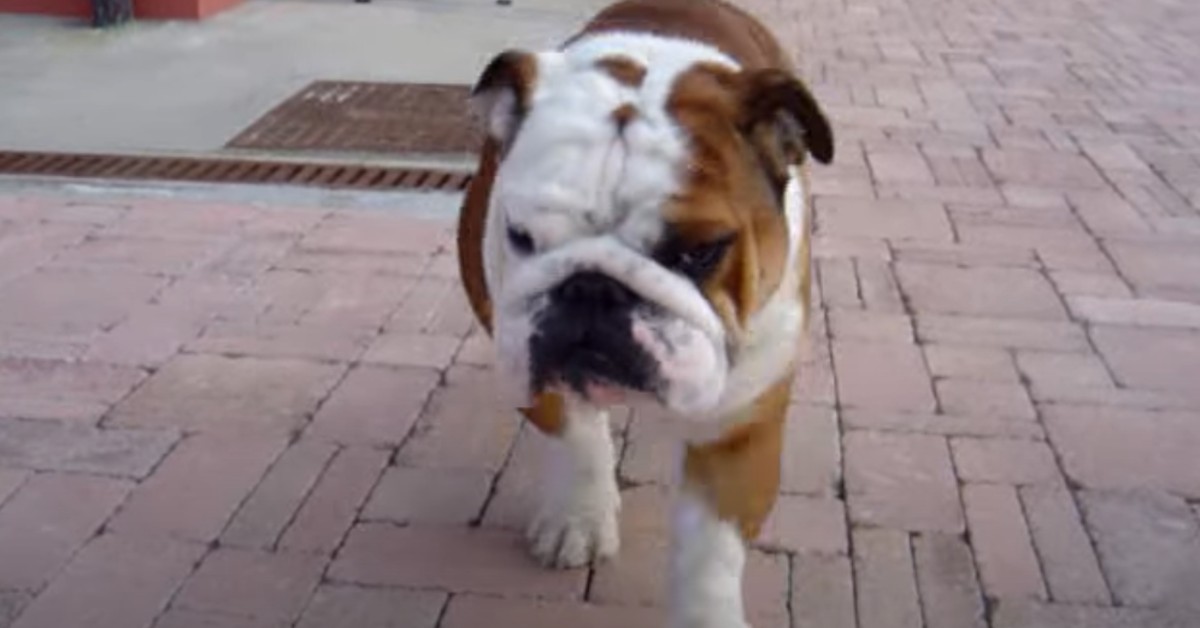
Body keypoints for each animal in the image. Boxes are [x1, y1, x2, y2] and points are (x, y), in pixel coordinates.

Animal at [453, 2, 830, 624]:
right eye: (521, 234)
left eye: (702, 251)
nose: (591, 289)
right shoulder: (531, 365)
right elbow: (578, 439)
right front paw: (579, 519)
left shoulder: (740, 428)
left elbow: (709, 556)